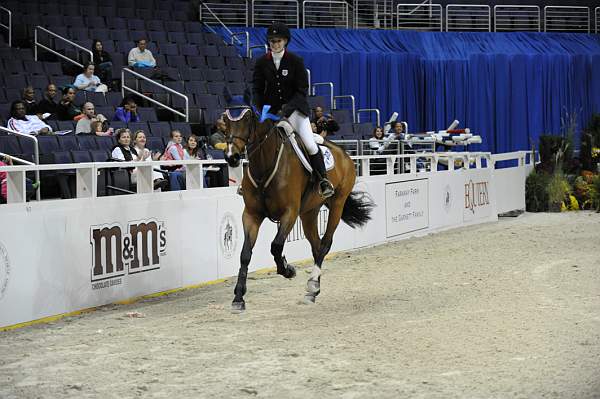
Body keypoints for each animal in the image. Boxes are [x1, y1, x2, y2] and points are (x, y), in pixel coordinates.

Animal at [221, 106, 370, 312]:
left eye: (247, 122)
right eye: (225, 123)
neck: (264, 165)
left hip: (337, 204)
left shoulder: (289, 213)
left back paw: (312, 284)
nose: (231, 157)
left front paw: (287, 269)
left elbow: (276, 246)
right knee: (316, 246)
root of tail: (344, 153)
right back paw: (313, 291)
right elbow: (245, 254)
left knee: (325, 243)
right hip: (309, 213)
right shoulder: (251, 215)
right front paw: (238, 297)